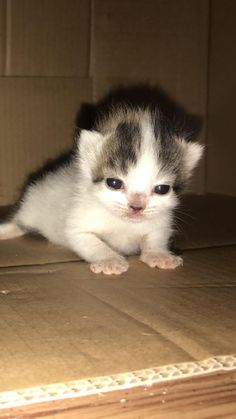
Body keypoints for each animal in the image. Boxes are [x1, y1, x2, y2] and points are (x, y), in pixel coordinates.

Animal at [0, 105, 203, 276]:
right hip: (31, 207)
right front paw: (109, 260)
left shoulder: (160, 223)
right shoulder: (77, 226)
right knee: (20, 223)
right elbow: (91, 242)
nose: (136, 207)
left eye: (162, 189)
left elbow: (155, 237)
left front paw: (159, 255)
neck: (123, 223)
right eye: (114, 183)